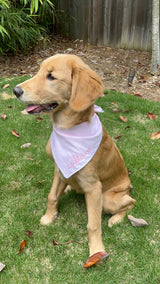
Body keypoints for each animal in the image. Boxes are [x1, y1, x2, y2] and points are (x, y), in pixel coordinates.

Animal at [13, 53, 135, 268]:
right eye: (38, 71)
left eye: (51, 76)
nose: (15, 90)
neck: (68, 130)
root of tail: (127, 186)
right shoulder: (59, 170)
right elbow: (52, 196)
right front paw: (49, 217)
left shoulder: (94, 187)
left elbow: (93, 224)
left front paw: (96, 252)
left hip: (109, 198)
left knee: (131, 203)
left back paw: (116, 219)